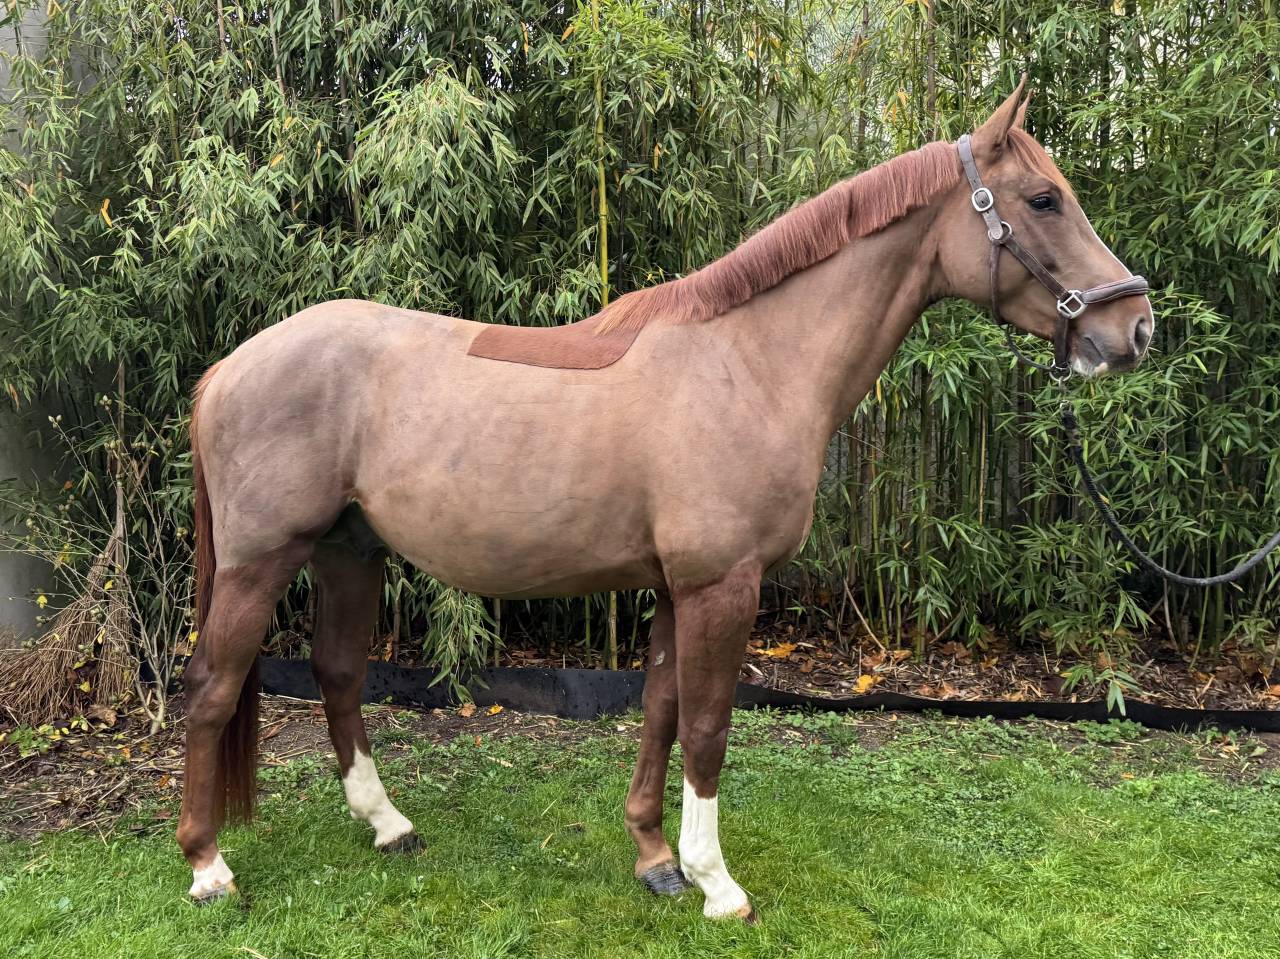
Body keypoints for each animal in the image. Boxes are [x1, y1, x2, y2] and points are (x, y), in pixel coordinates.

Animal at [177, 79, 1153, 920]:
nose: (1134, 327)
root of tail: (228, 368)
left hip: (349, 551)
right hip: (261, 562)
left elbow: (661, 710)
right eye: (1043, 200)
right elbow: (711, 724)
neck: (751, 361)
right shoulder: (723, 583)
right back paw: (208, 865)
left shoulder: (677, 587)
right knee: (213, 685)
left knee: (339, 675)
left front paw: (655, 858)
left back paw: (388, 825)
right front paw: (717, 882)